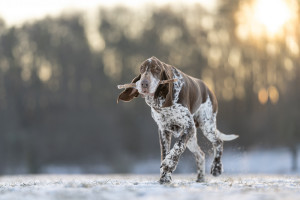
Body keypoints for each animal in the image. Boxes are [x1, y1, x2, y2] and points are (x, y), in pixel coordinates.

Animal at [117, 56, 237, 184]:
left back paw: (216, 167)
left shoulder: (188, 126)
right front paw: (165, 177)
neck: (162, 101)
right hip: (192, 138)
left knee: (218, 142)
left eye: (157, 69)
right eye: (141, 68)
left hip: (206, 126)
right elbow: (165, 153)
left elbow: (177, 147)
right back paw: (200, 178)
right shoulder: (163, 130)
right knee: (200, 154)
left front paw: (169, 164)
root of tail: (208, 89)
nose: (144, 83)